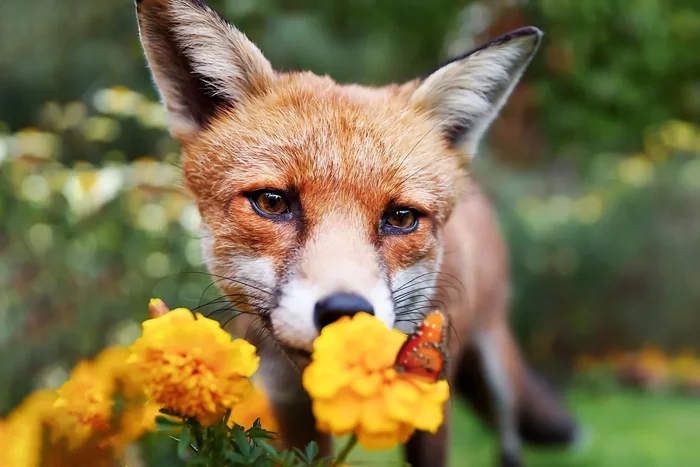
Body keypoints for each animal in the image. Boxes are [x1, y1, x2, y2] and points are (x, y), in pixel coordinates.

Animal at [134, 0, 580, 466]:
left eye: (402, 217)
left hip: (493, 360)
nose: (346, 311)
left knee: (508, 432)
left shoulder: (432, 397)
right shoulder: (288, 407)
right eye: (272, 202)